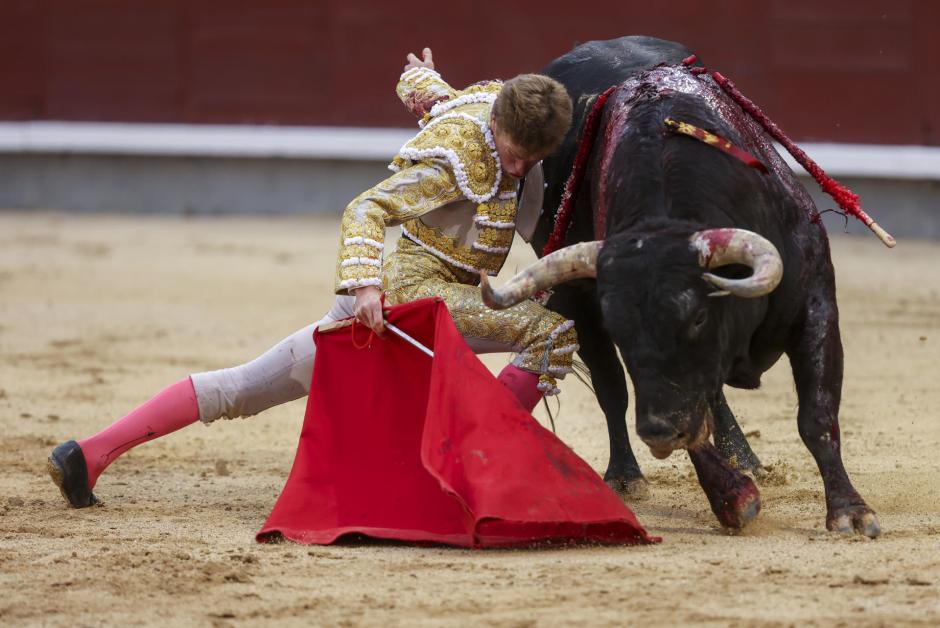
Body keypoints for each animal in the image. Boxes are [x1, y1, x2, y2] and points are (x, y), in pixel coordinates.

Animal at [484, 35, 880, 536]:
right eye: (621, 328)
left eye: (697, 316)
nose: (655, 432)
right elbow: (684, 412)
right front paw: (734, 501)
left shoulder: (815, 301)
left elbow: (817, 414)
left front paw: (850, 511)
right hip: (575, 298)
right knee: (615, 390)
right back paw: (627, 476)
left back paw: (746, 460)